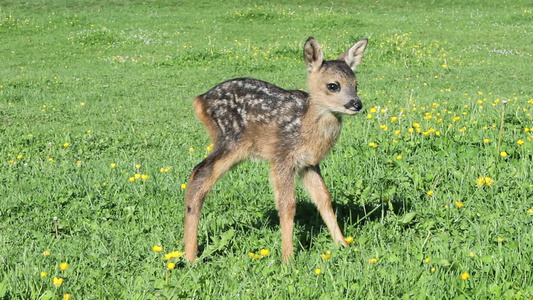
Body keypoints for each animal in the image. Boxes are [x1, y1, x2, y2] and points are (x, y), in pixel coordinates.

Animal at [183, 37, 366, 262]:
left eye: (356, 85)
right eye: (333, 85)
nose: (356, 104)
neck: (304, 125)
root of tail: (199, 100)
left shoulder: (308, 163)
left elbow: (324, 198)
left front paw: (343, 244)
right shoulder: (282, 156)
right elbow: (287, 205)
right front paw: (288, 258)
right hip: (231, 139)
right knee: (200, 173)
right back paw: (190, 255)